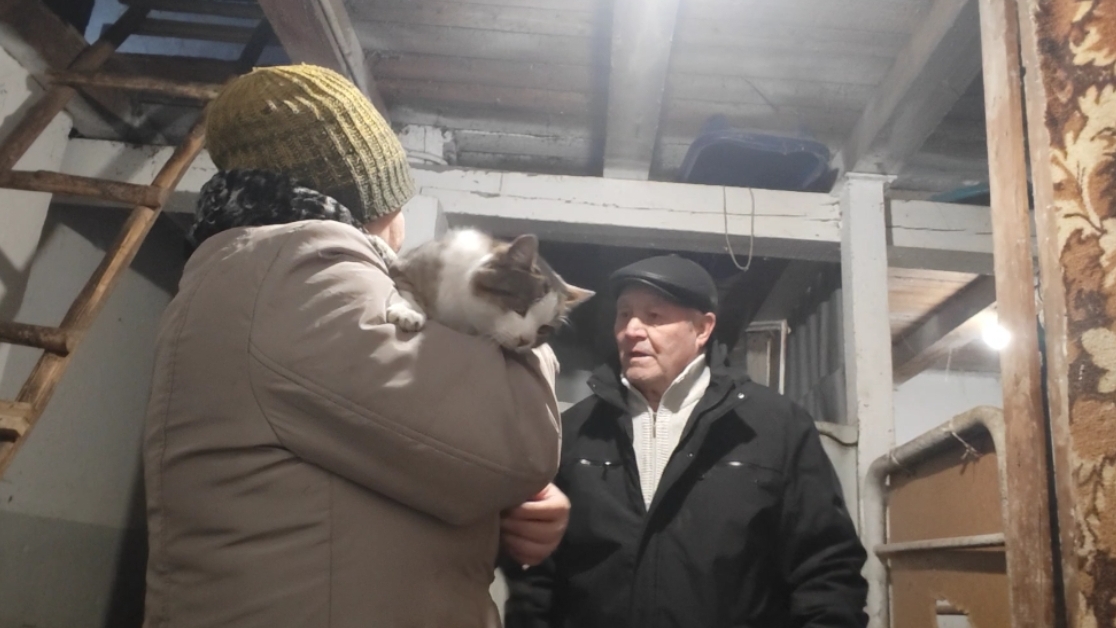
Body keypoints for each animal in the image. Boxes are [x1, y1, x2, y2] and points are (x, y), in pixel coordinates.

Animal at [384, 228, 594, 352]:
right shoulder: (404, 267)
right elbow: (406, 290)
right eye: (520, 309)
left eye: (543, 329)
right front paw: (408, 313)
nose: (525, 341)